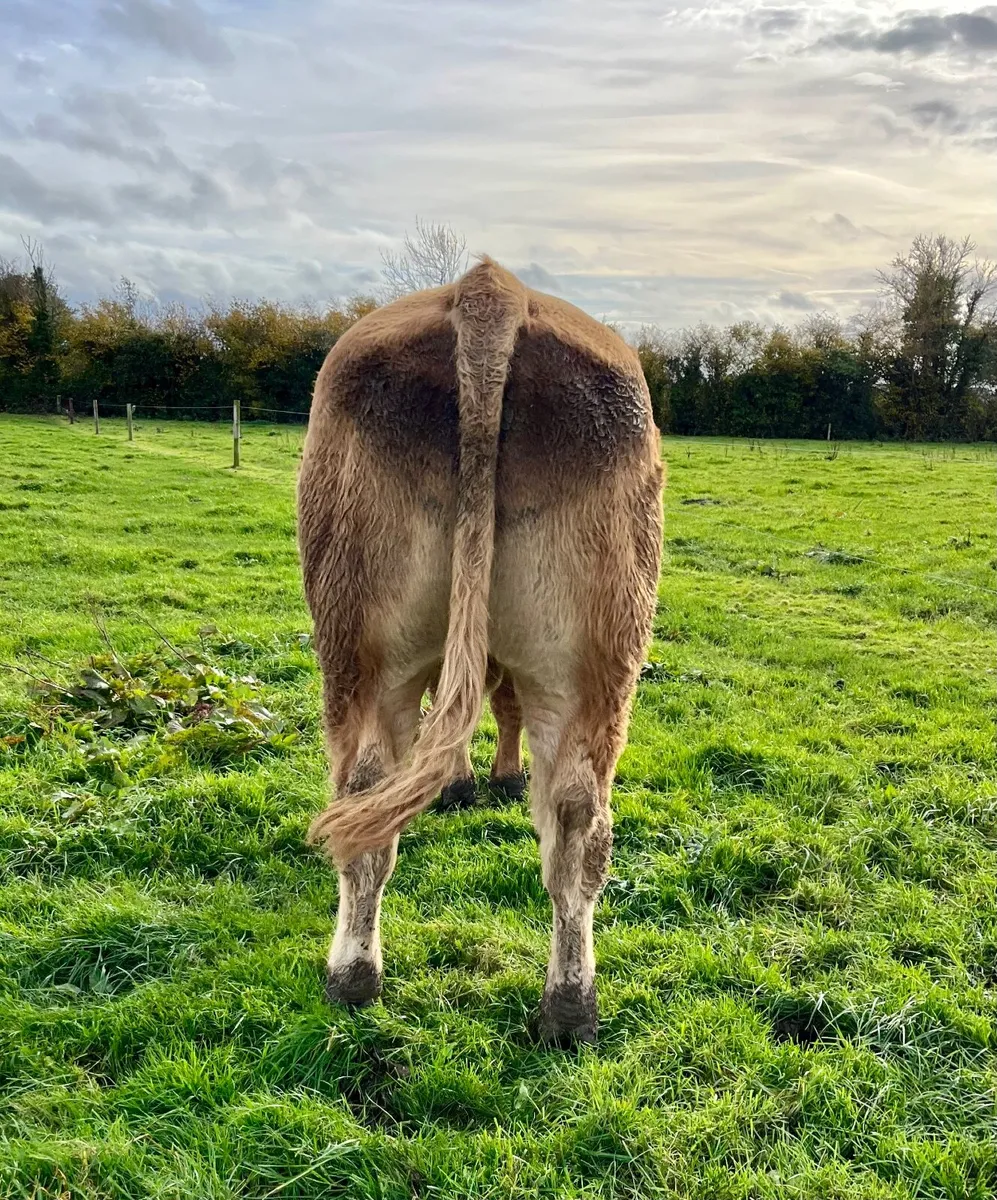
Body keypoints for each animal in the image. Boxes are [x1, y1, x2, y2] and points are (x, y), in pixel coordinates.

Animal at [298, 257, 663, 1044]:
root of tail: (490, 289)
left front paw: (472, 780)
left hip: (355, 648)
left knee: (364, 798)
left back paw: (350, 977)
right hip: (596, 659)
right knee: (577, 822)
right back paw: (569, 1008)